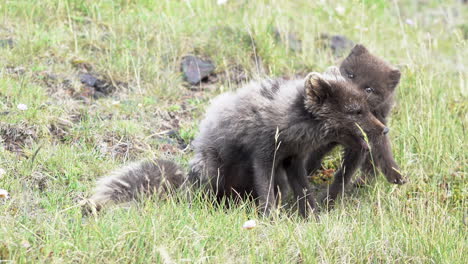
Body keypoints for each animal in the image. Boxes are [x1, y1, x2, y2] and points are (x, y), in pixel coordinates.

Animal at [187, 71, 388, 217]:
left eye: (367, 109)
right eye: (356, 112)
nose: (385, 130)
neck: (290, 123)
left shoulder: (293, 160)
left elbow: (305, 192)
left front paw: (314, 218)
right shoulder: (263, 157)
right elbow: (266, 192)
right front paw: (270, 219)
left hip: (279, 182)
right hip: (210, 170)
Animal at [306, 44, 404, 204]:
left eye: (369, 89)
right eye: (351, 75)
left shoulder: (361, 145)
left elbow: (345, 174)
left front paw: (330, 200)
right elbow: (313, 156)